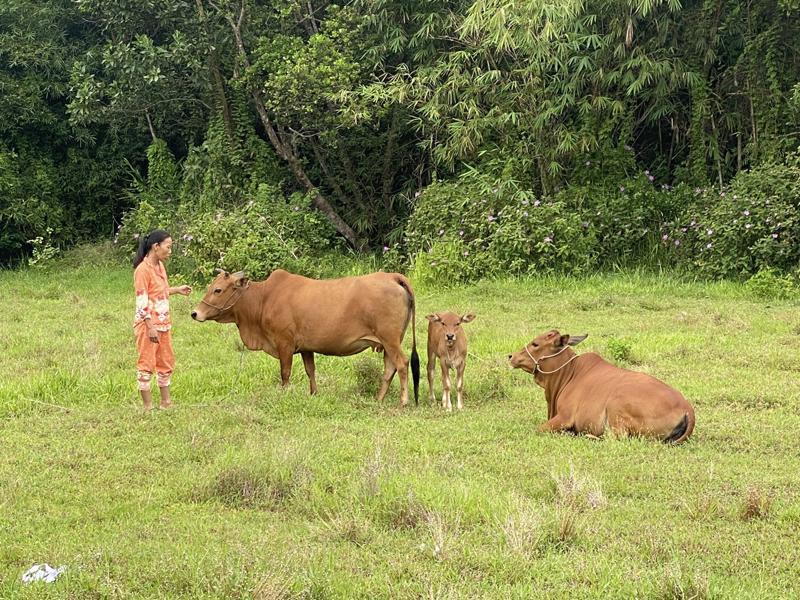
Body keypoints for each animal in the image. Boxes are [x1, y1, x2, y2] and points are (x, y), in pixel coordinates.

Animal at [191, 270, 422, 406]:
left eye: (217, 289)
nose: (195, 313)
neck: (263, 299)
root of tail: (392, 276)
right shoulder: (306, 348)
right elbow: (310, 371)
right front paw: (313, 393)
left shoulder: (284, 344)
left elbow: (285, 374)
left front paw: (284, 395)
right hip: (389, 341)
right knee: (390, 368)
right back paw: (378, 398)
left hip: (390, 338)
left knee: (401, 364)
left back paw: (403, 401)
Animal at [512, 330, 692, 442]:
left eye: (535, 344)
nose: (511, 356)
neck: (569, 374)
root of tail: (687, 408)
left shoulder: (564, 417)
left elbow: (538, 428)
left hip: (616, 406)